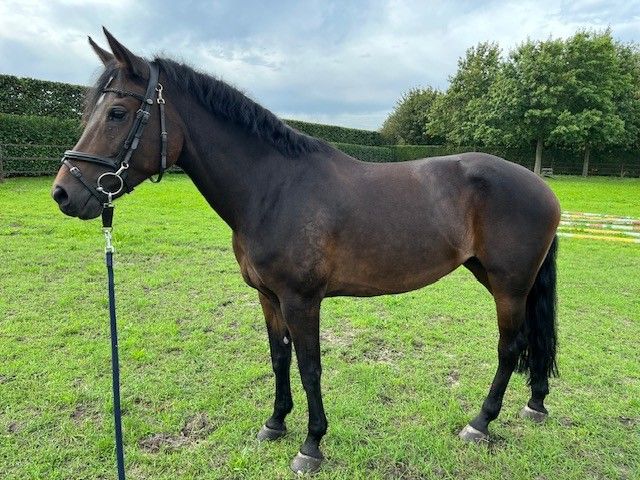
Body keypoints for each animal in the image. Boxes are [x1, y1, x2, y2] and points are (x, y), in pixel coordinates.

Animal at [52, 28, 561, 474]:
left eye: (117, 113)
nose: (63, 193)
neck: (274, 189)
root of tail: (542, 187)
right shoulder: (268, 297)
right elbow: (279, 359)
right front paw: (275, 423)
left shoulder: (302, 300)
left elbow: (310, 366)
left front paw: (311, 445)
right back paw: (534, 403)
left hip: (509, 286)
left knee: (510, 347)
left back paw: (480, 423)